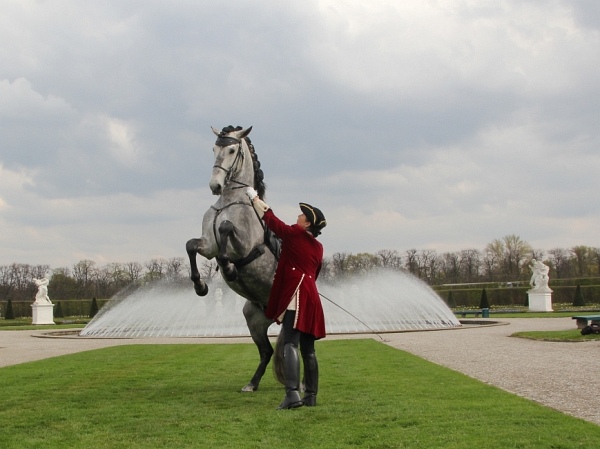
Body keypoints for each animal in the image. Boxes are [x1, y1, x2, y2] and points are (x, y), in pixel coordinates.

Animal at [185, 124, 282, 390]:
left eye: (231, 150)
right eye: (213, 149)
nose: (215, 186)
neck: (229, 201)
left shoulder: (245, 246)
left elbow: (226, 229)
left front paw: (229, 269)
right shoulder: (208, 245)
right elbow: (191, 246)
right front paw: (200, 286)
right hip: (255, 320)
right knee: (267, 352)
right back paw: (252, 384)